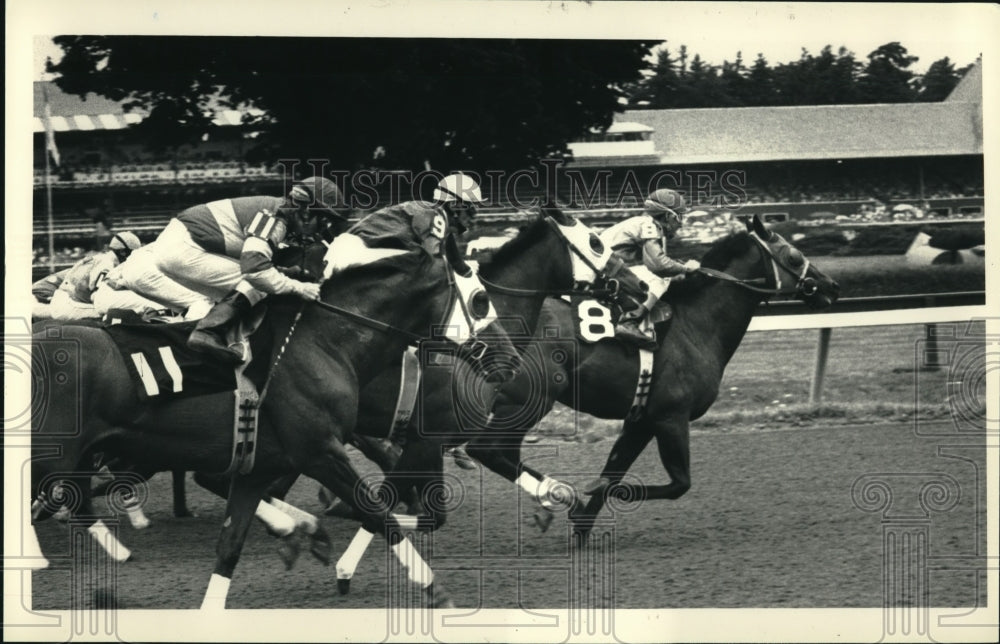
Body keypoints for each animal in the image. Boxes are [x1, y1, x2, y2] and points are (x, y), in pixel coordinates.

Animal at [31, 242, 516, 608]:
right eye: (480, 299)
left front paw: (307, 533)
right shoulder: (322, 451)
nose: (510, 359)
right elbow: (380, 514)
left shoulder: (260, 463)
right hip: (52, 454)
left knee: (77, 498)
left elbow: (229, 548)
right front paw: (432, 591)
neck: (324, 341)